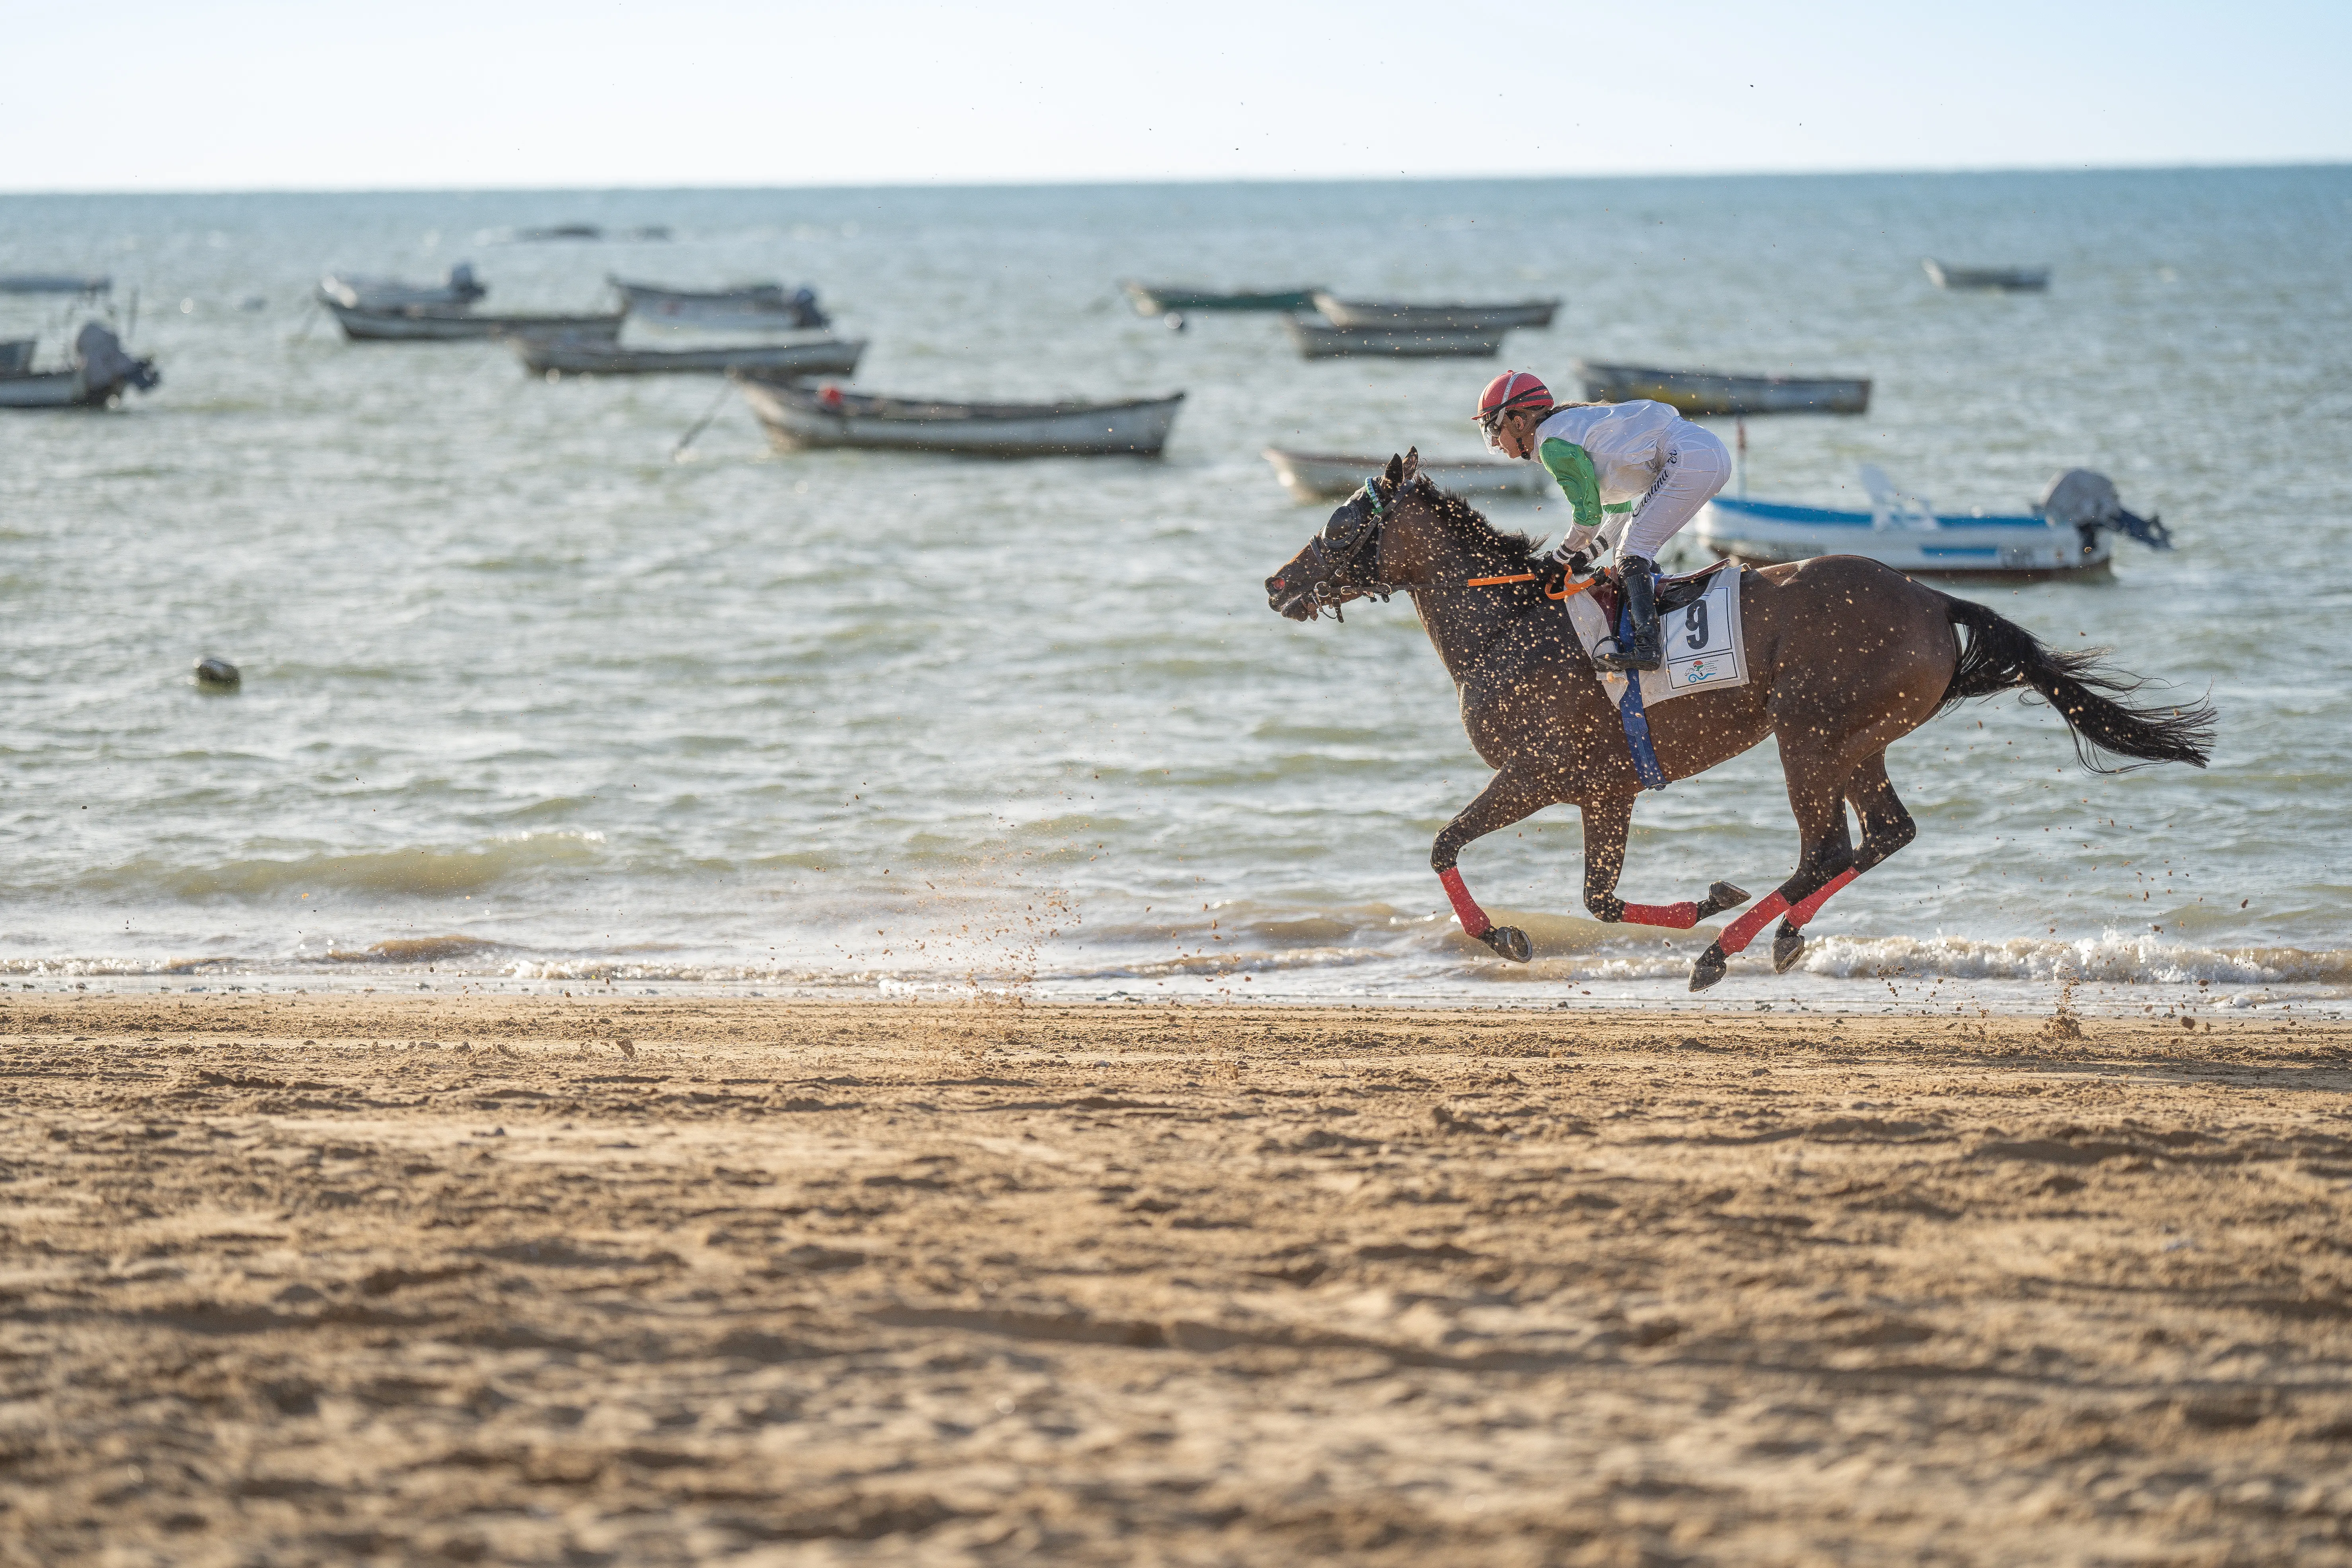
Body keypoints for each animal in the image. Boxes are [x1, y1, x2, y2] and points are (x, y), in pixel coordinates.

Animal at [1263, 451, 2216, 992]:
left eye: (1341, 525)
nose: (1276, 582)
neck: (1507, 624)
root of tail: (1930, 594)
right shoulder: (1600, 789)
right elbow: (1584, 893)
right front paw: (1688, 901)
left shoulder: (1551, 775)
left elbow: (1466, 853)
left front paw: (1506, 934)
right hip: (1856, 737)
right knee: (1885, 832)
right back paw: (1781, 933)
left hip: (1808, 732)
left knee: (1827, 846)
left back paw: (1725, 948)